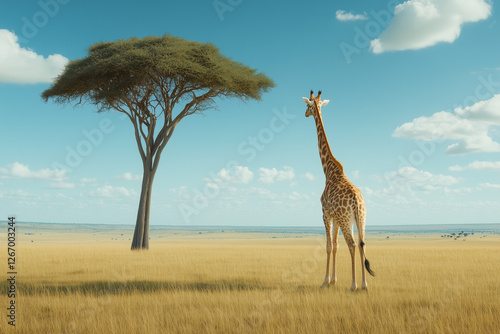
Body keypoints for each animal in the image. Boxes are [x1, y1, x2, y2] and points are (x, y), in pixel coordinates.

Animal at [300, 89, 376, 290]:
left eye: (307, 105)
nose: (305, 114)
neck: (328, 170)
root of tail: (357, 201)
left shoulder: (325, 213)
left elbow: (328, 246)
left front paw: (325, 281)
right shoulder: (335, 217)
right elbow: (335, 245)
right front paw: (333, 280)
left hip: (346, 219)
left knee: (353, 244)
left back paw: (354, 285)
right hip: (359, 218)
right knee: (362, 243)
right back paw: (365, 284)